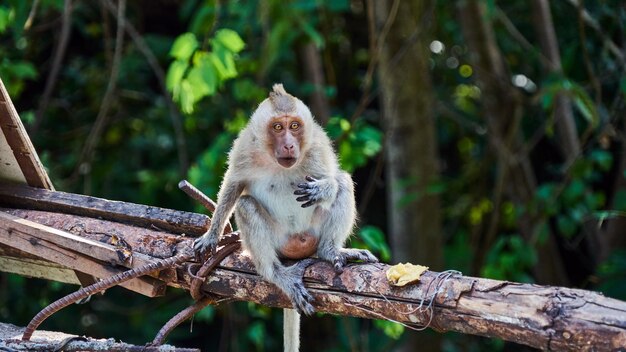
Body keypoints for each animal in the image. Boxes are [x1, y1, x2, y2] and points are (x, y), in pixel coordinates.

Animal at [194, 84, 376, 350]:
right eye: (278, 127)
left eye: (295, 126)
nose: (289, 145)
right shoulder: (245, 147)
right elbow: (234, 185)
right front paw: (212, 235)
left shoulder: (317, 146)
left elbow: (333, 178)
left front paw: (324, 189)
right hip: (279, 241)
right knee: (246, 205)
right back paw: (276, 273)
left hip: (314, 234)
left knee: (343, 182)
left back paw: (330, 251)